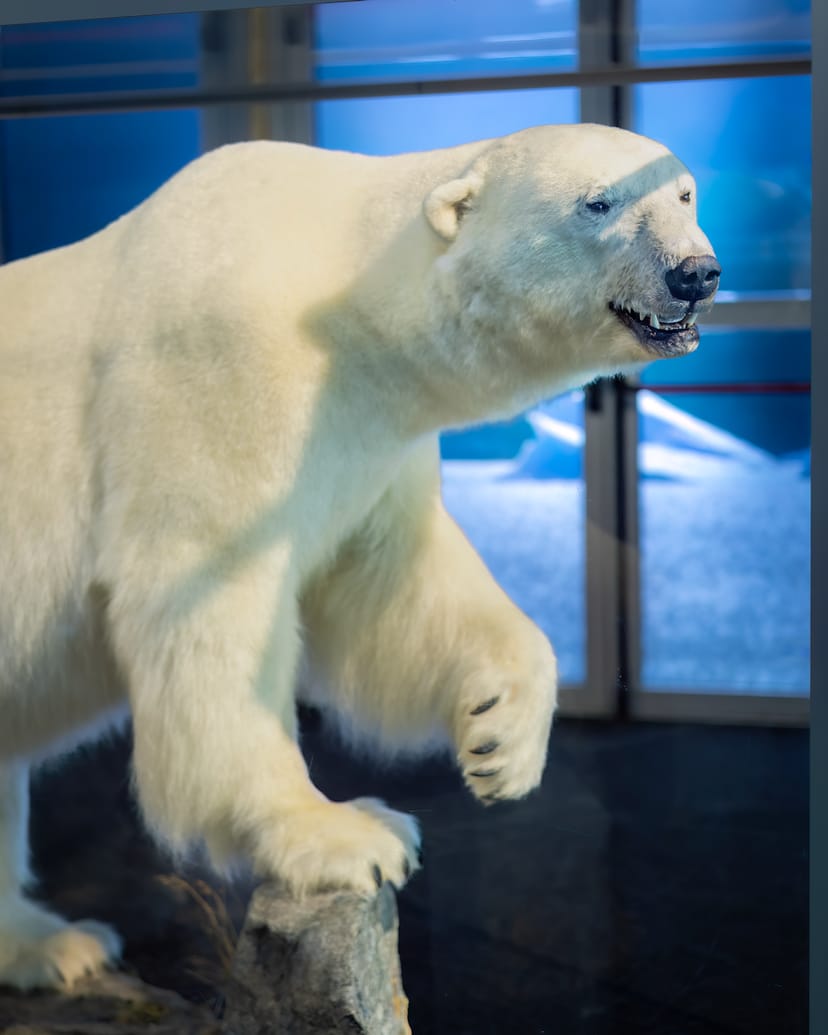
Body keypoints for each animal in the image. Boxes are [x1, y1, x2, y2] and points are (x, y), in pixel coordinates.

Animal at [0, 123, 719, 990]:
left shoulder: (369, 434)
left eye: (683, 192)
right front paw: (343, 833)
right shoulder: (211, 376)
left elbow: (393, 585)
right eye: (598, 203)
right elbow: (208, 601)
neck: (330, 289)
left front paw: (499, 740)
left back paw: (52, 943)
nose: (695, 273)